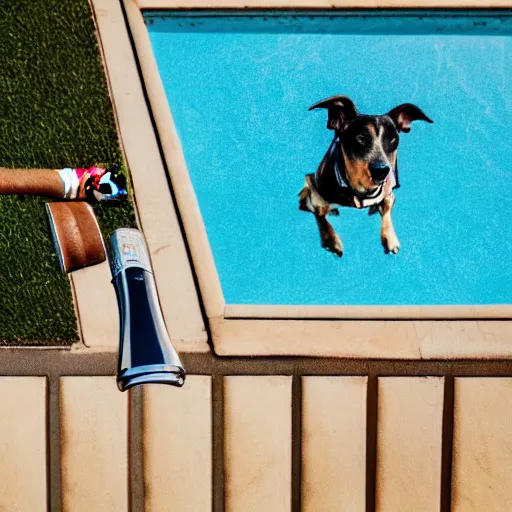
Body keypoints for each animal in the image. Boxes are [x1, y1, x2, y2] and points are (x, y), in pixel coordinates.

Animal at [298, 94, 434, 258]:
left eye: (393, 140)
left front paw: (390, 238)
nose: (381, 171)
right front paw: (332, 242)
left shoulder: (389, 193)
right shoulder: (313, 192)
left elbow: (387, 208)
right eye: (360, 137)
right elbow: (322, 217)